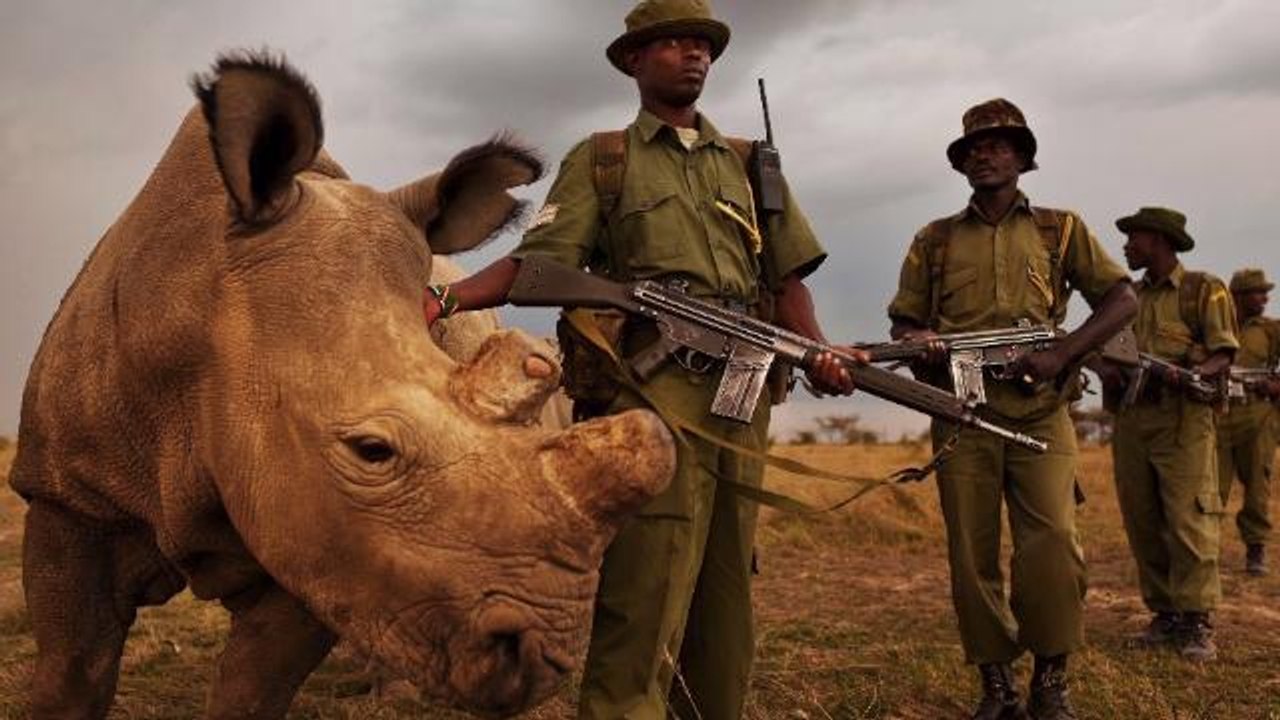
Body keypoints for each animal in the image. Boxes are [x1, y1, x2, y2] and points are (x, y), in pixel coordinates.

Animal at [10, 52, 674, 718]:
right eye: (371, 451)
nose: (542, 658)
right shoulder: (68, 497)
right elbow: (72, 674)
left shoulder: (323, 539)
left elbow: (252, 692)